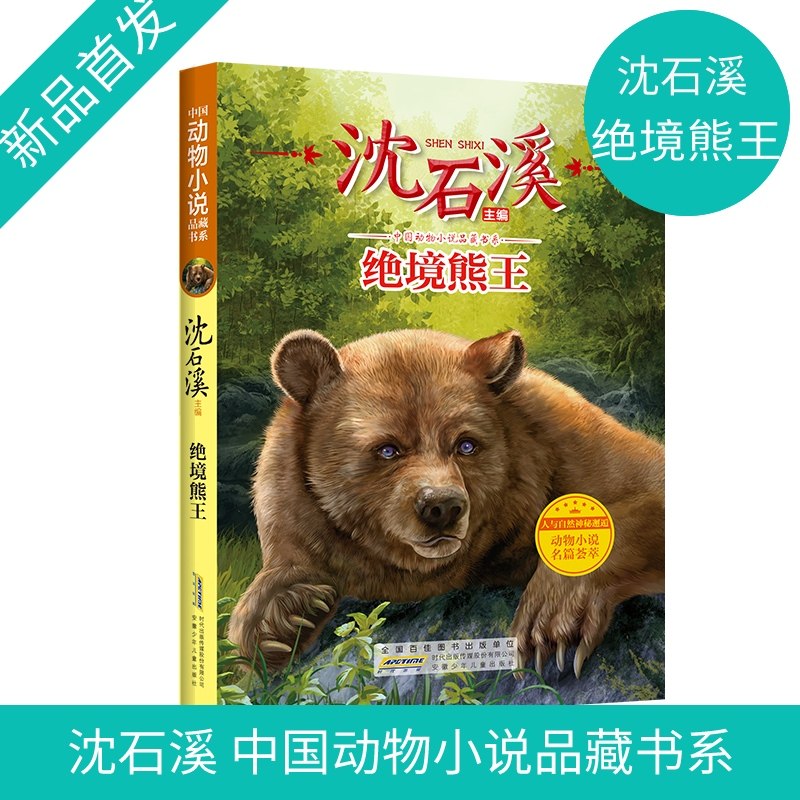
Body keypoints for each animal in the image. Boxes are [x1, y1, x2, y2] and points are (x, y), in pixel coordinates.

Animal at [227, 328, 664, 679]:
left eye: (466, 444)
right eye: (387, 449)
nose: (441, 506)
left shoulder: (565, 441)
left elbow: (644, 486)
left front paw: (551, 618)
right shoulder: (292, 511)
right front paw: (281, 617)